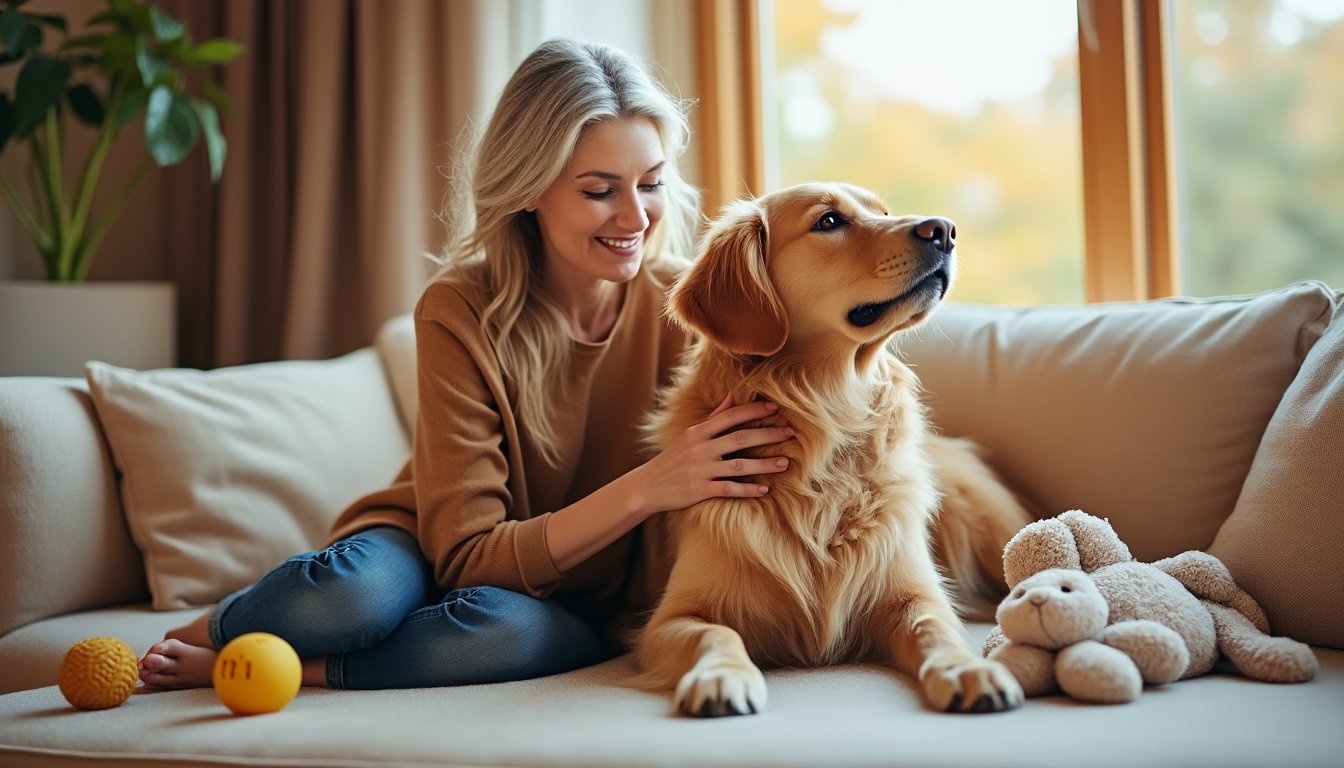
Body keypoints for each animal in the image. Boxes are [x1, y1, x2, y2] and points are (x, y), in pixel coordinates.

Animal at [634, 182, 1032, 720]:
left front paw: (967, 669)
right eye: (828, 221)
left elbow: (936, 629)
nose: (945, 230)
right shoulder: (670, 620)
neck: (830, 411)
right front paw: (721, 677)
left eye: (883, 211)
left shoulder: (913, 594)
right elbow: (715, 635)